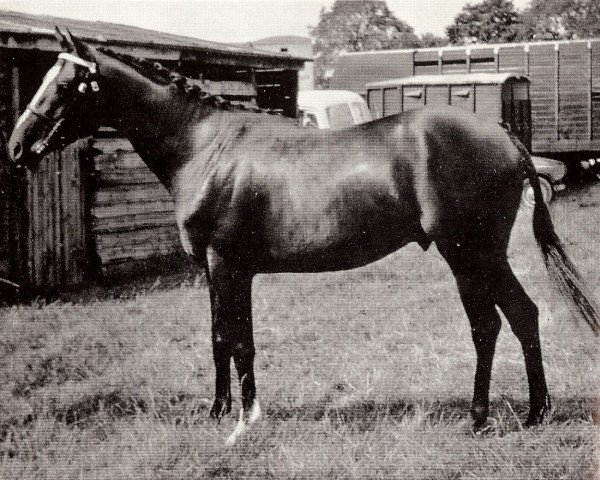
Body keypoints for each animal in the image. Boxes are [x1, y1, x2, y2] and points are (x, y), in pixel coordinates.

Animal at [7, 29, 596, 442]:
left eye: (64, 82)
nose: (15, 146)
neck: (204, 145)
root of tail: (503, 135)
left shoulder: (226, 264)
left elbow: (234, 338)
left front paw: (239, 420)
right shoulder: (220, 269)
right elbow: (224, 338)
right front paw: (225, 411)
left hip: (468, 253)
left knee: (488, 325)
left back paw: (479, 418)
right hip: (485, 254)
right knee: (523, 315)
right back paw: (537, 412)